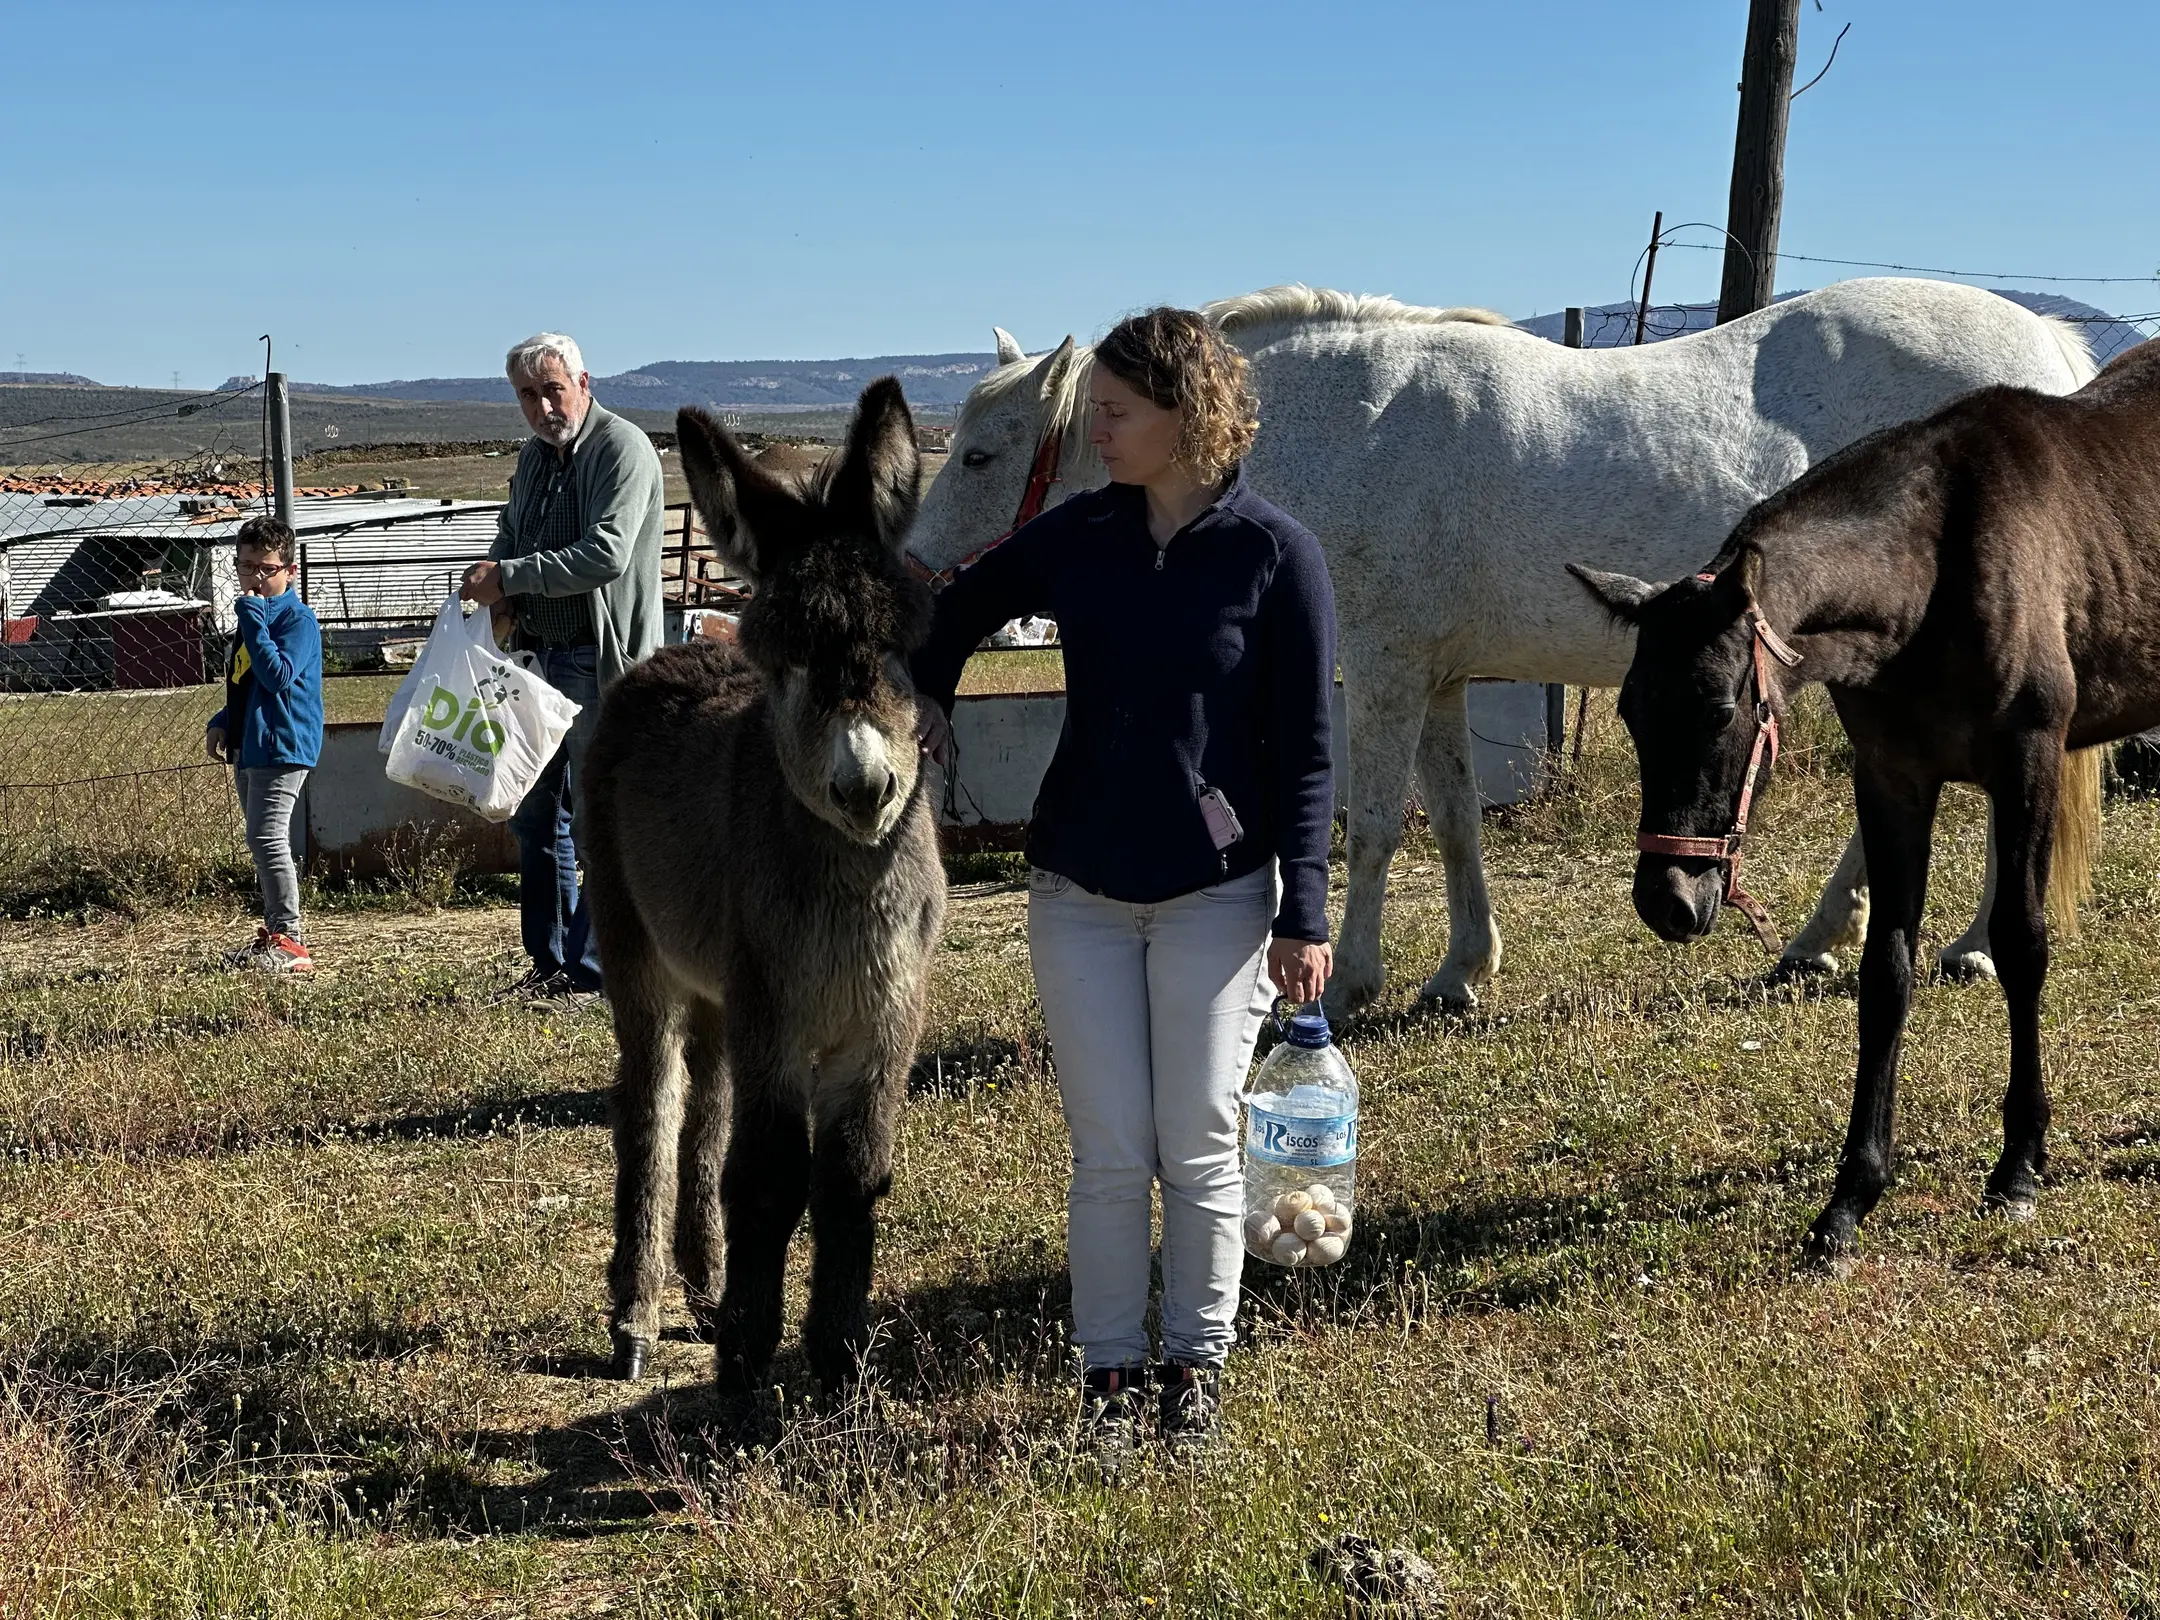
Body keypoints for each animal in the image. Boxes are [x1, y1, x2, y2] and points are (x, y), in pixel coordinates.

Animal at [911, 278, 2090, 1015]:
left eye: (976, 455)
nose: (915, 572)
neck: (1347, 431)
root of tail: (2049, 357)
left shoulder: (1382, 672)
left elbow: (1372, 829)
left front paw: (1351, 981)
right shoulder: (1436, 680)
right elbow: (1454, 822)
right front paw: (1459, 972)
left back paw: (1957, 946)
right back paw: (1832, 943)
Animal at [1572, 339, 2160, 1252]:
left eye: (1721, 709)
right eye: (1632, 712)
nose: (1668, 899)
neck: (1933, 576)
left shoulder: (2028, 760)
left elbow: (2021, 945)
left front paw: (2019, 1163)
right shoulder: (1891, 777)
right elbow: (1886, 970)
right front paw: (1852, 1193)